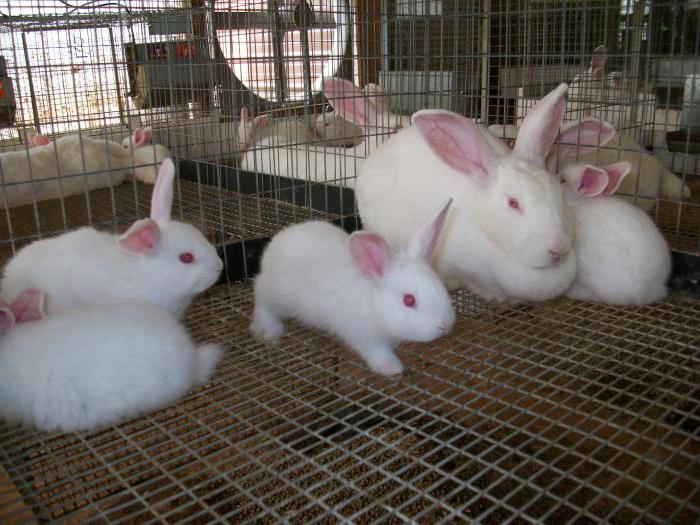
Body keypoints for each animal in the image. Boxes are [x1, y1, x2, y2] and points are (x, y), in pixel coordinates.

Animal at [250, 198, 456, 377]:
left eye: (441, 286)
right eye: (409, 300)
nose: (445, 325)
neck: (374, 305)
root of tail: (276, 243)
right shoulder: (363, 335)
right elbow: (377, 352)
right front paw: (391, 368)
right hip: (276, 293)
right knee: (262, 302)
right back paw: (268, 330)